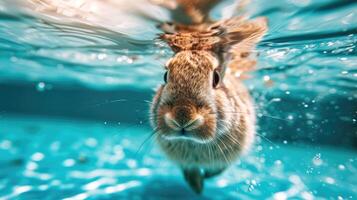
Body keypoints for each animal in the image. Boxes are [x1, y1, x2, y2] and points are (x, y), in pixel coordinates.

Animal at [149, 12, 266, 194]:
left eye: (216, 78)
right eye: (165, 76)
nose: (183, 116)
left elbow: (219, 169)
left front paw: (205, 180)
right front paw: (196, 186)